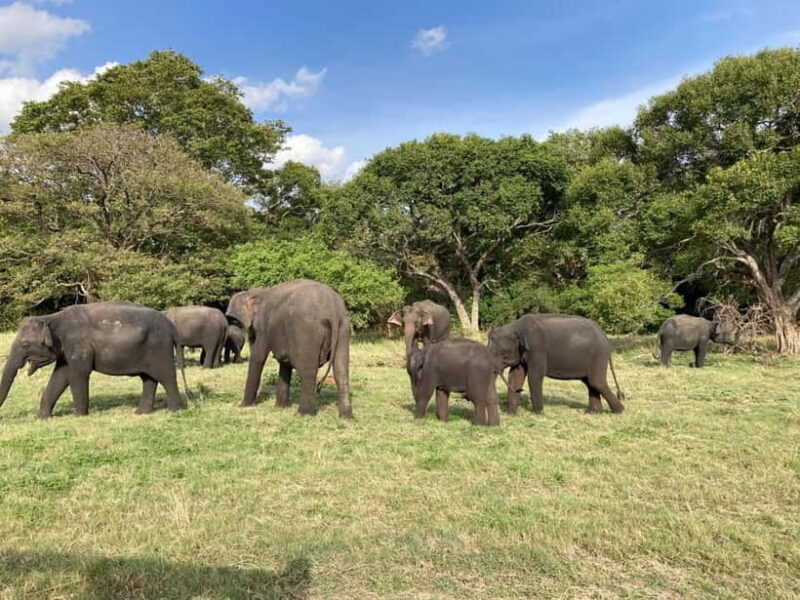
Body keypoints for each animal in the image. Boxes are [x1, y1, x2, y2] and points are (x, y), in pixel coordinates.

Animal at [0, 302, 190, 418]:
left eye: (24, 344)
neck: (52, 318)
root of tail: (171, 326)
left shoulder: (79, 346)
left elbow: (77, 375)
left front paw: (78, 416)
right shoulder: (67, 351)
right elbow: (60, 376)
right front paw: (42, 418)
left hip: (159, 347)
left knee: (166, 377)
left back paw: (174, 411)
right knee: (148, 379)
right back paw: (140, 413)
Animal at [226, 279, 352, 418]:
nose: (239, 404)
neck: (260, 292)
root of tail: (333, 310)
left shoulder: (263, 327)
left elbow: (259, 357)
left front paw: (243, 406)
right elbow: (284, 363)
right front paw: (280, 407)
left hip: (306, 331)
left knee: (307, 372)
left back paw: (303, 414)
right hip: (344, 328)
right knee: (341, 371)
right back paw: (346, 417)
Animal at [488, 314, 624, 414]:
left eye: (503, 353)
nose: (520, 390)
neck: (515, 327)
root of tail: (605, 336)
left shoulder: (537, 350)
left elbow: (535, 376)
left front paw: (539, 413)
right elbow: (516, 376)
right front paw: (511, 413)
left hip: (599, 356)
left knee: (597, 381)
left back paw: (619, 411)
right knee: (590, 382)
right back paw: (593, 412)